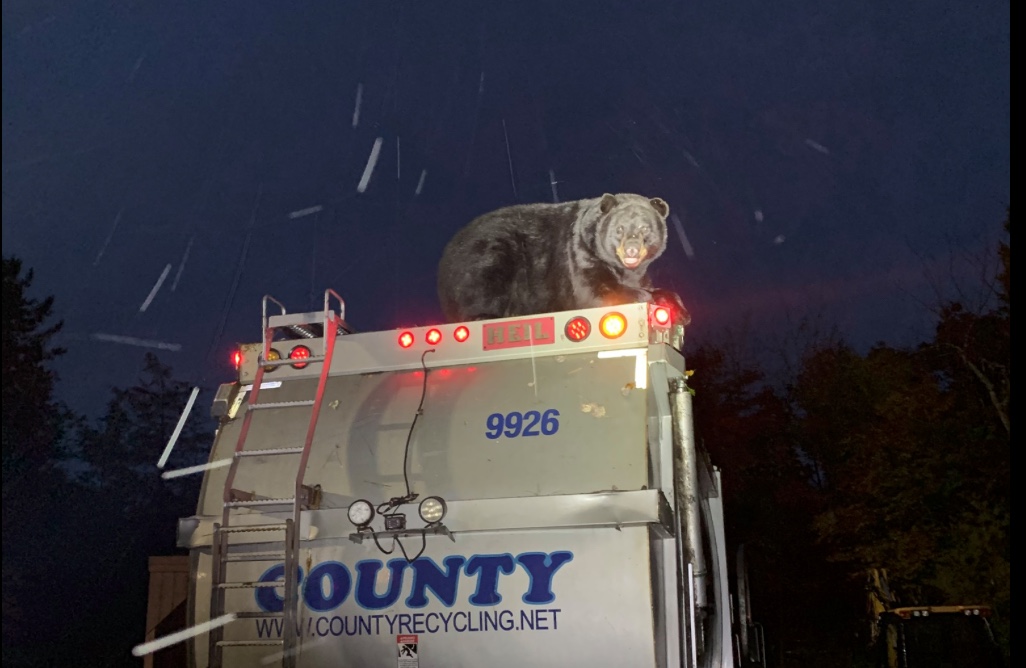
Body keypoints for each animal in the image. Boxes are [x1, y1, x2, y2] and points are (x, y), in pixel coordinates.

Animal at [435, 190, 685, 324]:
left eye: (644, 229)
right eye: (620, 229)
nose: (631, 250)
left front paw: (679, 308)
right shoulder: (580, 253)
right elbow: (597, 291)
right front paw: (651, 299)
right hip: (489, 254)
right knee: (484, 284)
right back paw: (484, 316)